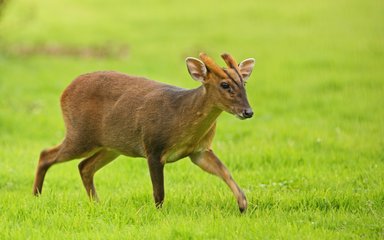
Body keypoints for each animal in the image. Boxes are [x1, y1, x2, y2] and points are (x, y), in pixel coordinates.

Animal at [33, 52, 255, 212]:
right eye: (224, 84)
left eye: (244, 83)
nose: (248, 112)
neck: (181, 115)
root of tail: (65, 90)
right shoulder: (153, 147)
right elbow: (159, 192)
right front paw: (159, 214)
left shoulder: (199, 151)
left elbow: (225, 171)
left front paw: (243, 204)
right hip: (80, 134)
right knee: (46, 154)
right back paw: (36, 196)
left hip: (112, 145)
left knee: (84, 166)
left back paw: (96, 203)